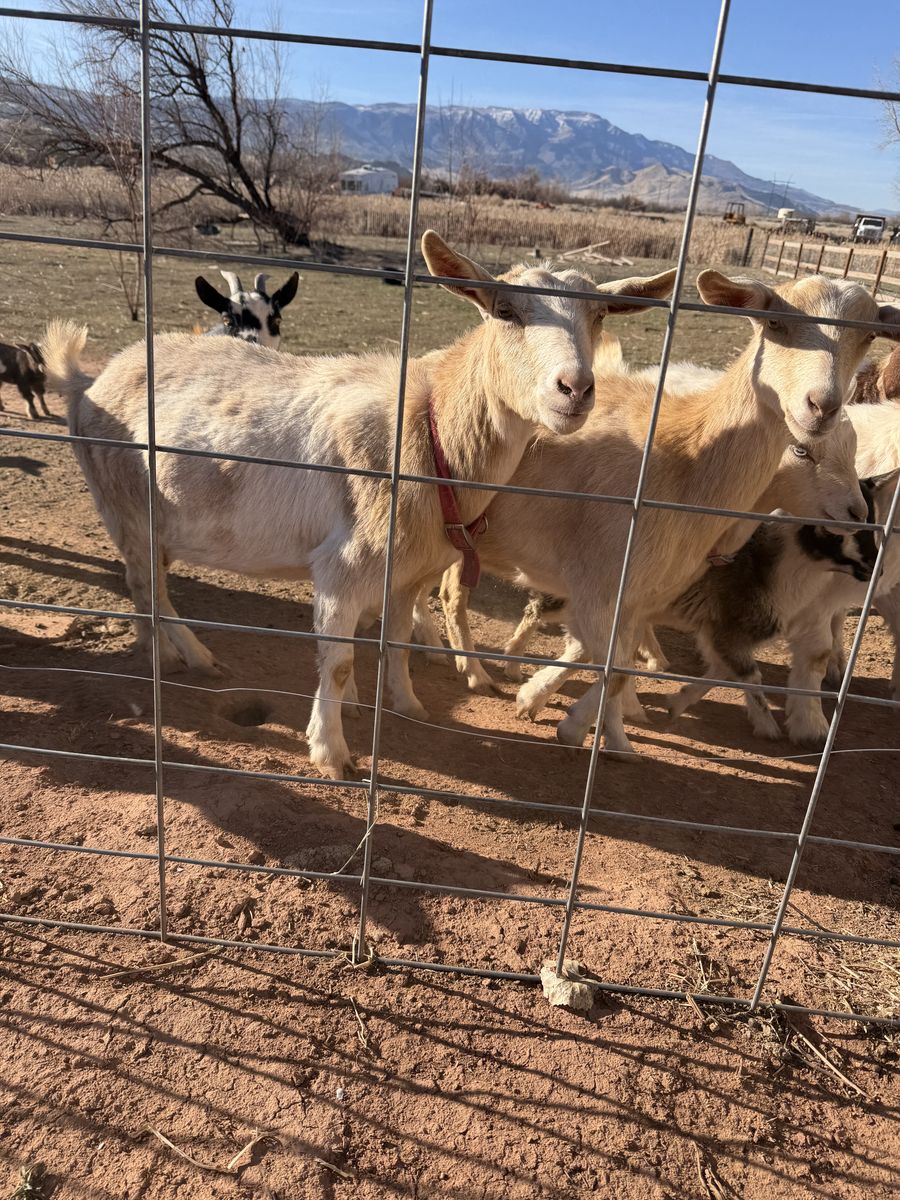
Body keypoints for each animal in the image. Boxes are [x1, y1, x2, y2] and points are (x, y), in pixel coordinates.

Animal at [42, 233, 676, 780]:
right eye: (505, 311)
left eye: (599, 316)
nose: (575, 390)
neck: (429, 427)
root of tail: (89, 378)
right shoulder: (343, 567)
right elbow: (340, 660)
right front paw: (332, 751)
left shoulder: (409, 573)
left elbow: (395, 640)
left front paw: (407, 705)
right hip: (124, 506)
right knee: (145, 588)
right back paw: (175, 658)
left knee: (152, 587)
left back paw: (183, 654)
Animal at [436, 272, 900, 757]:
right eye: (774, 321)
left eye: (869, 335)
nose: (821, 406)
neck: (686, 457)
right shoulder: (600, 585)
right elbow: (613, 666)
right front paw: (583, 726)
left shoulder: (640, 593)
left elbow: (616, 666)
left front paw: (597, 725)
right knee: (450, 593)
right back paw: (473, 673)